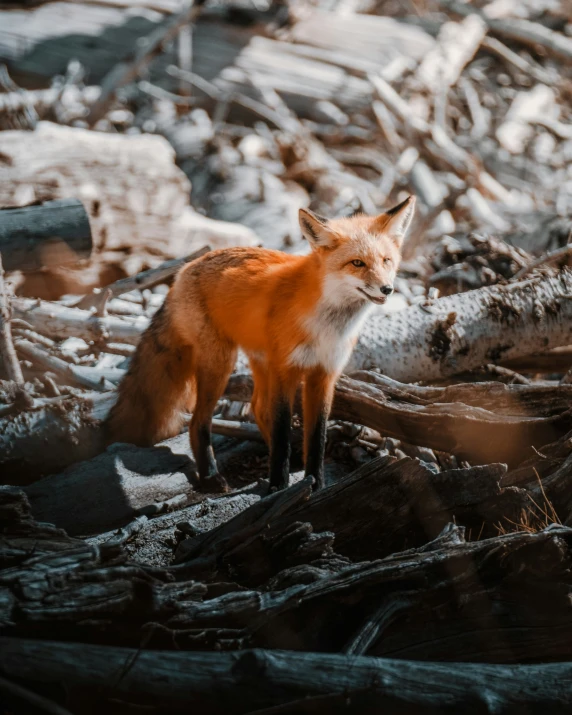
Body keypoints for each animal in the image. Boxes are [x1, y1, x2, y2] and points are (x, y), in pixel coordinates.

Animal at [104, 199, 416, 496]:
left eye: (386, 261)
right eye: (357, 263)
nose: (387, 289)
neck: (325, 326)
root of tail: (183, 270)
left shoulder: (324, 374)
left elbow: (317, 437)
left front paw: (316, 483)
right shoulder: (285, 369)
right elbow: (281, 433)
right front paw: (278, 486)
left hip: (258, 361)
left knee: (257, 408)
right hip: (222, 363)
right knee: (199, 422)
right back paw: (211, 477)